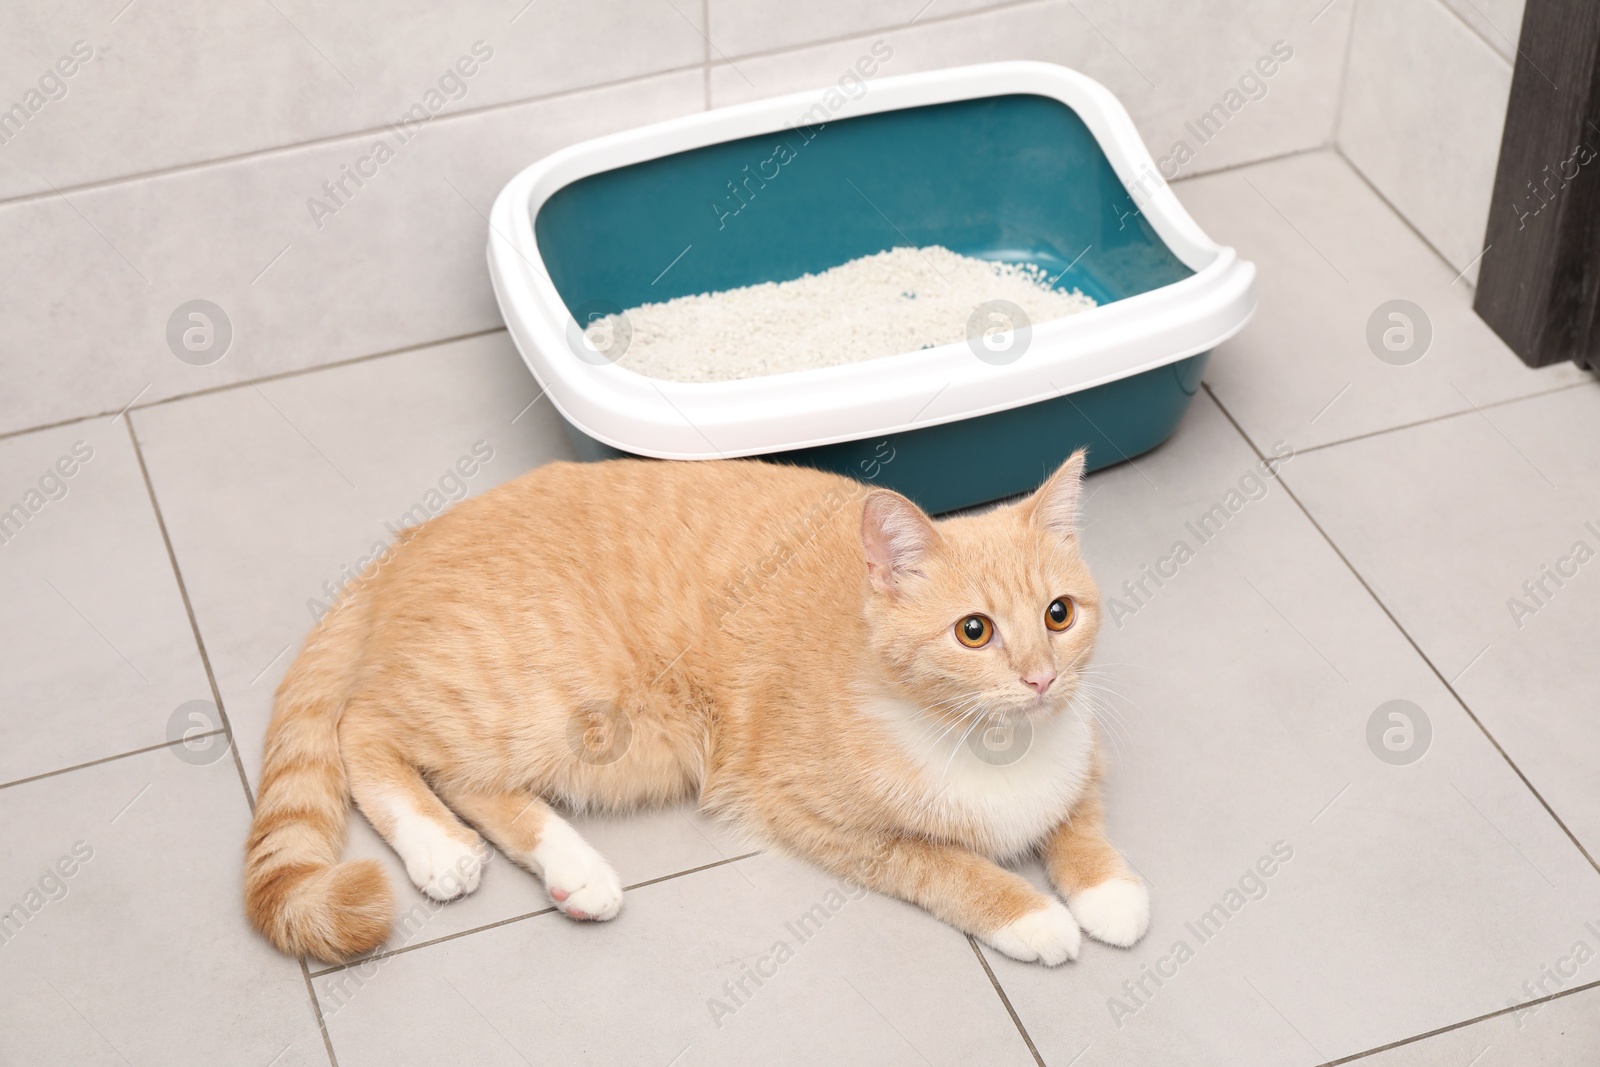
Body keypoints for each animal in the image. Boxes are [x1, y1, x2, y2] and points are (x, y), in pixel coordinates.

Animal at [243, 451, 1152, 966]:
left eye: (1059, 615)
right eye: (974, 631)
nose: (1039, 679)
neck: (995, 744)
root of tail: (415, 535)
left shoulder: (1084, 754)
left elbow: (1079, 819)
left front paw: (1107, 890)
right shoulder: (815, 817)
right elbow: (947, 866)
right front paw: (1031, 914)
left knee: (472, 779)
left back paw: (575, 870)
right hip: (552, 705)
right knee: (367, 729)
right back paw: (438, 847)